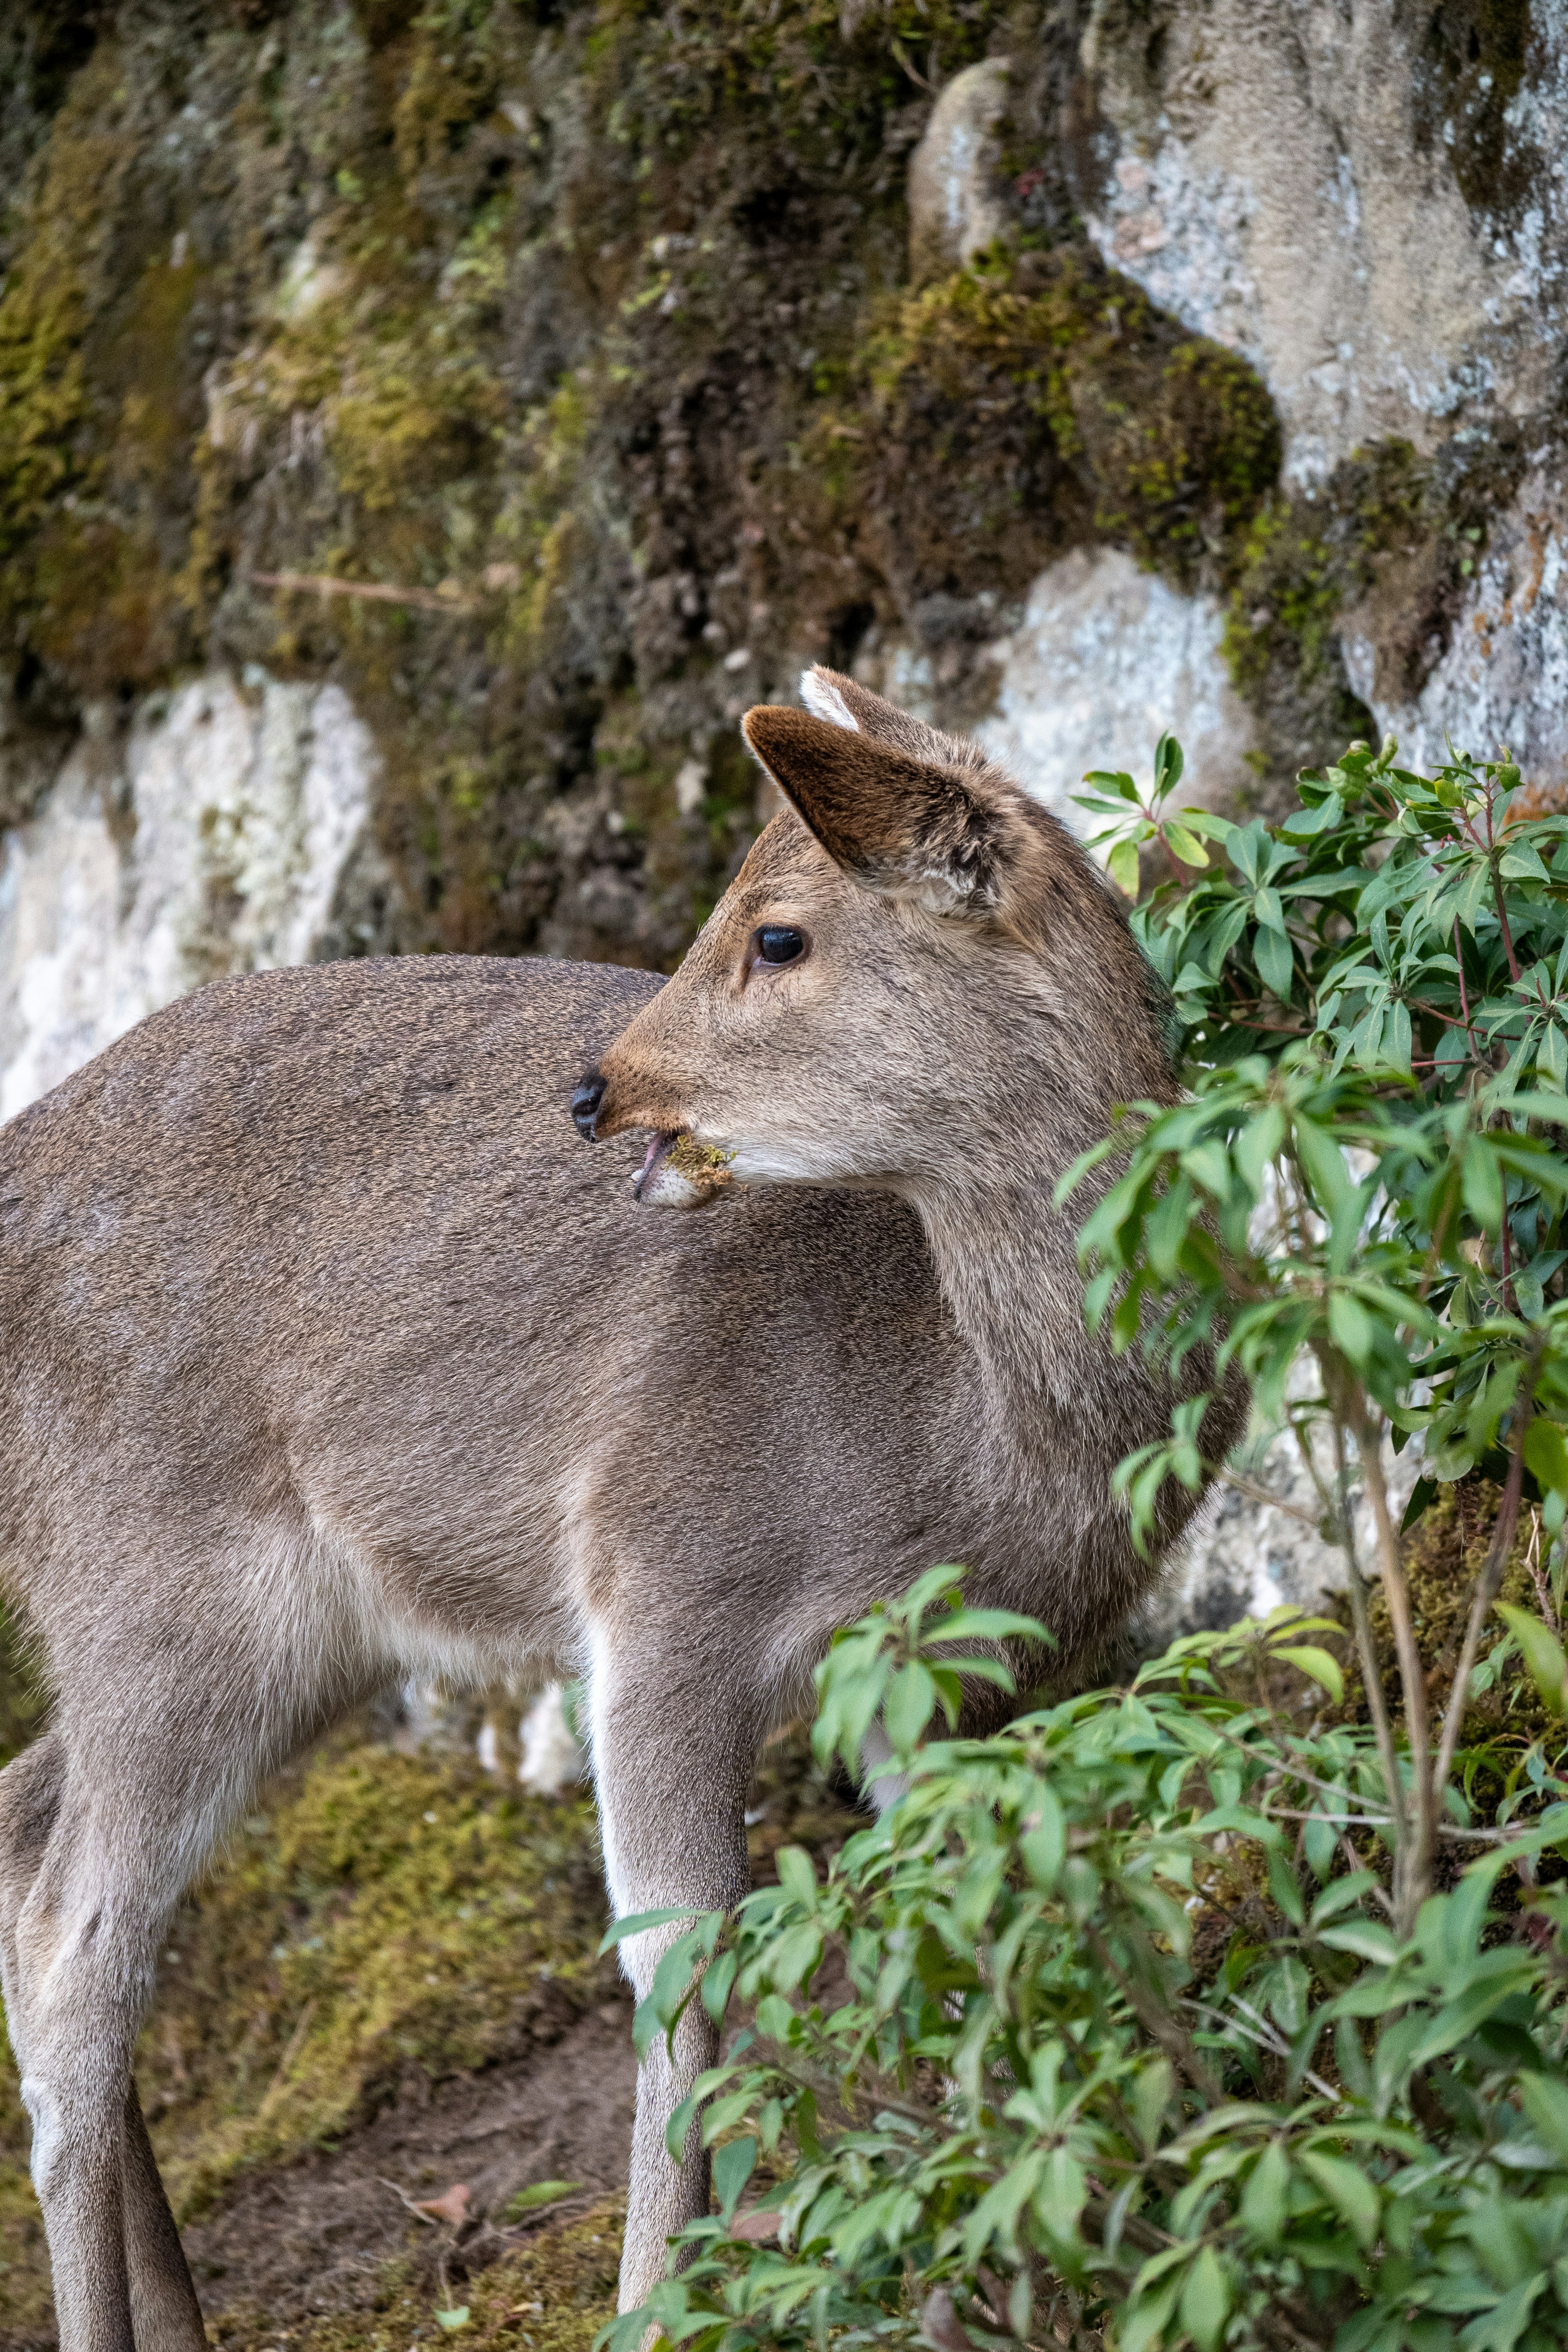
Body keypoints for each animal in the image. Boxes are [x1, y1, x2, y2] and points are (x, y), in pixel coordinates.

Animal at [3, 668, 1250, 2352]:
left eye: (777, 934)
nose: (599, 1089)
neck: (961, 1439)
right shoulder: (664, 1582)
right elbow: (685, 1964)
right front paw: (668, 2303)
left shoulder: (940, 1672)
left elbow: (968, 1895)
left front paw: (992, 2259)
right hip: (155, 1579)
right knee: (75, 1944)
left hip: (265, 1632)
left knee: (27, 1823)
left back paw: (185, 2316)